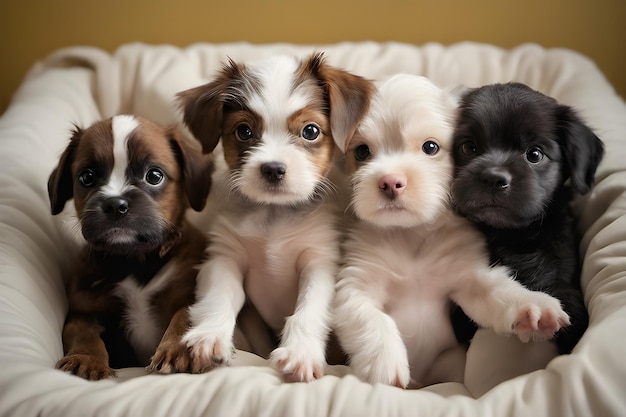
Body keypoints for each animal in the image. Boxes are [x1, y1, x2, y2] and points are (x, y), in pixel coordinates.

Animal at [45, 114, 212, 376]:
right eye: (86, 177)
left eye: (154, 176)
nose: (115, 204)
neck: (134, 260)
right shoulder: (83, 309)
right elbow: (83, 334)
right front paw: (86, 359)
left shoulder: (190, 292)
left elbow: (185, 316)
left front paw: (181, 348)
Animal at [173, 52, 372, 380]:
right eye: (244, 131)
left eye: (310, 131)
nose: (273, 169)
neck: (274, 216)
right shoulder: (225, 258)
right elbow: (218, 298)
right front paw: (209, 336)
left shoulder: (318, 262)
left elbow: (308, 311)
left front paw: (300, 353)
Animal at [332, 74, 572, 386]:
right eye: (362, 151)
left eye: (431, 147)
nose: (390, 182)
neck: (411, 237)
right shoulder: (355, 286)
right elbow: (370, 317)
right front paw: (384, 362)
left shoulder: (470, 279)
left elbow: (500, 292)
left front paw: (533, 307)